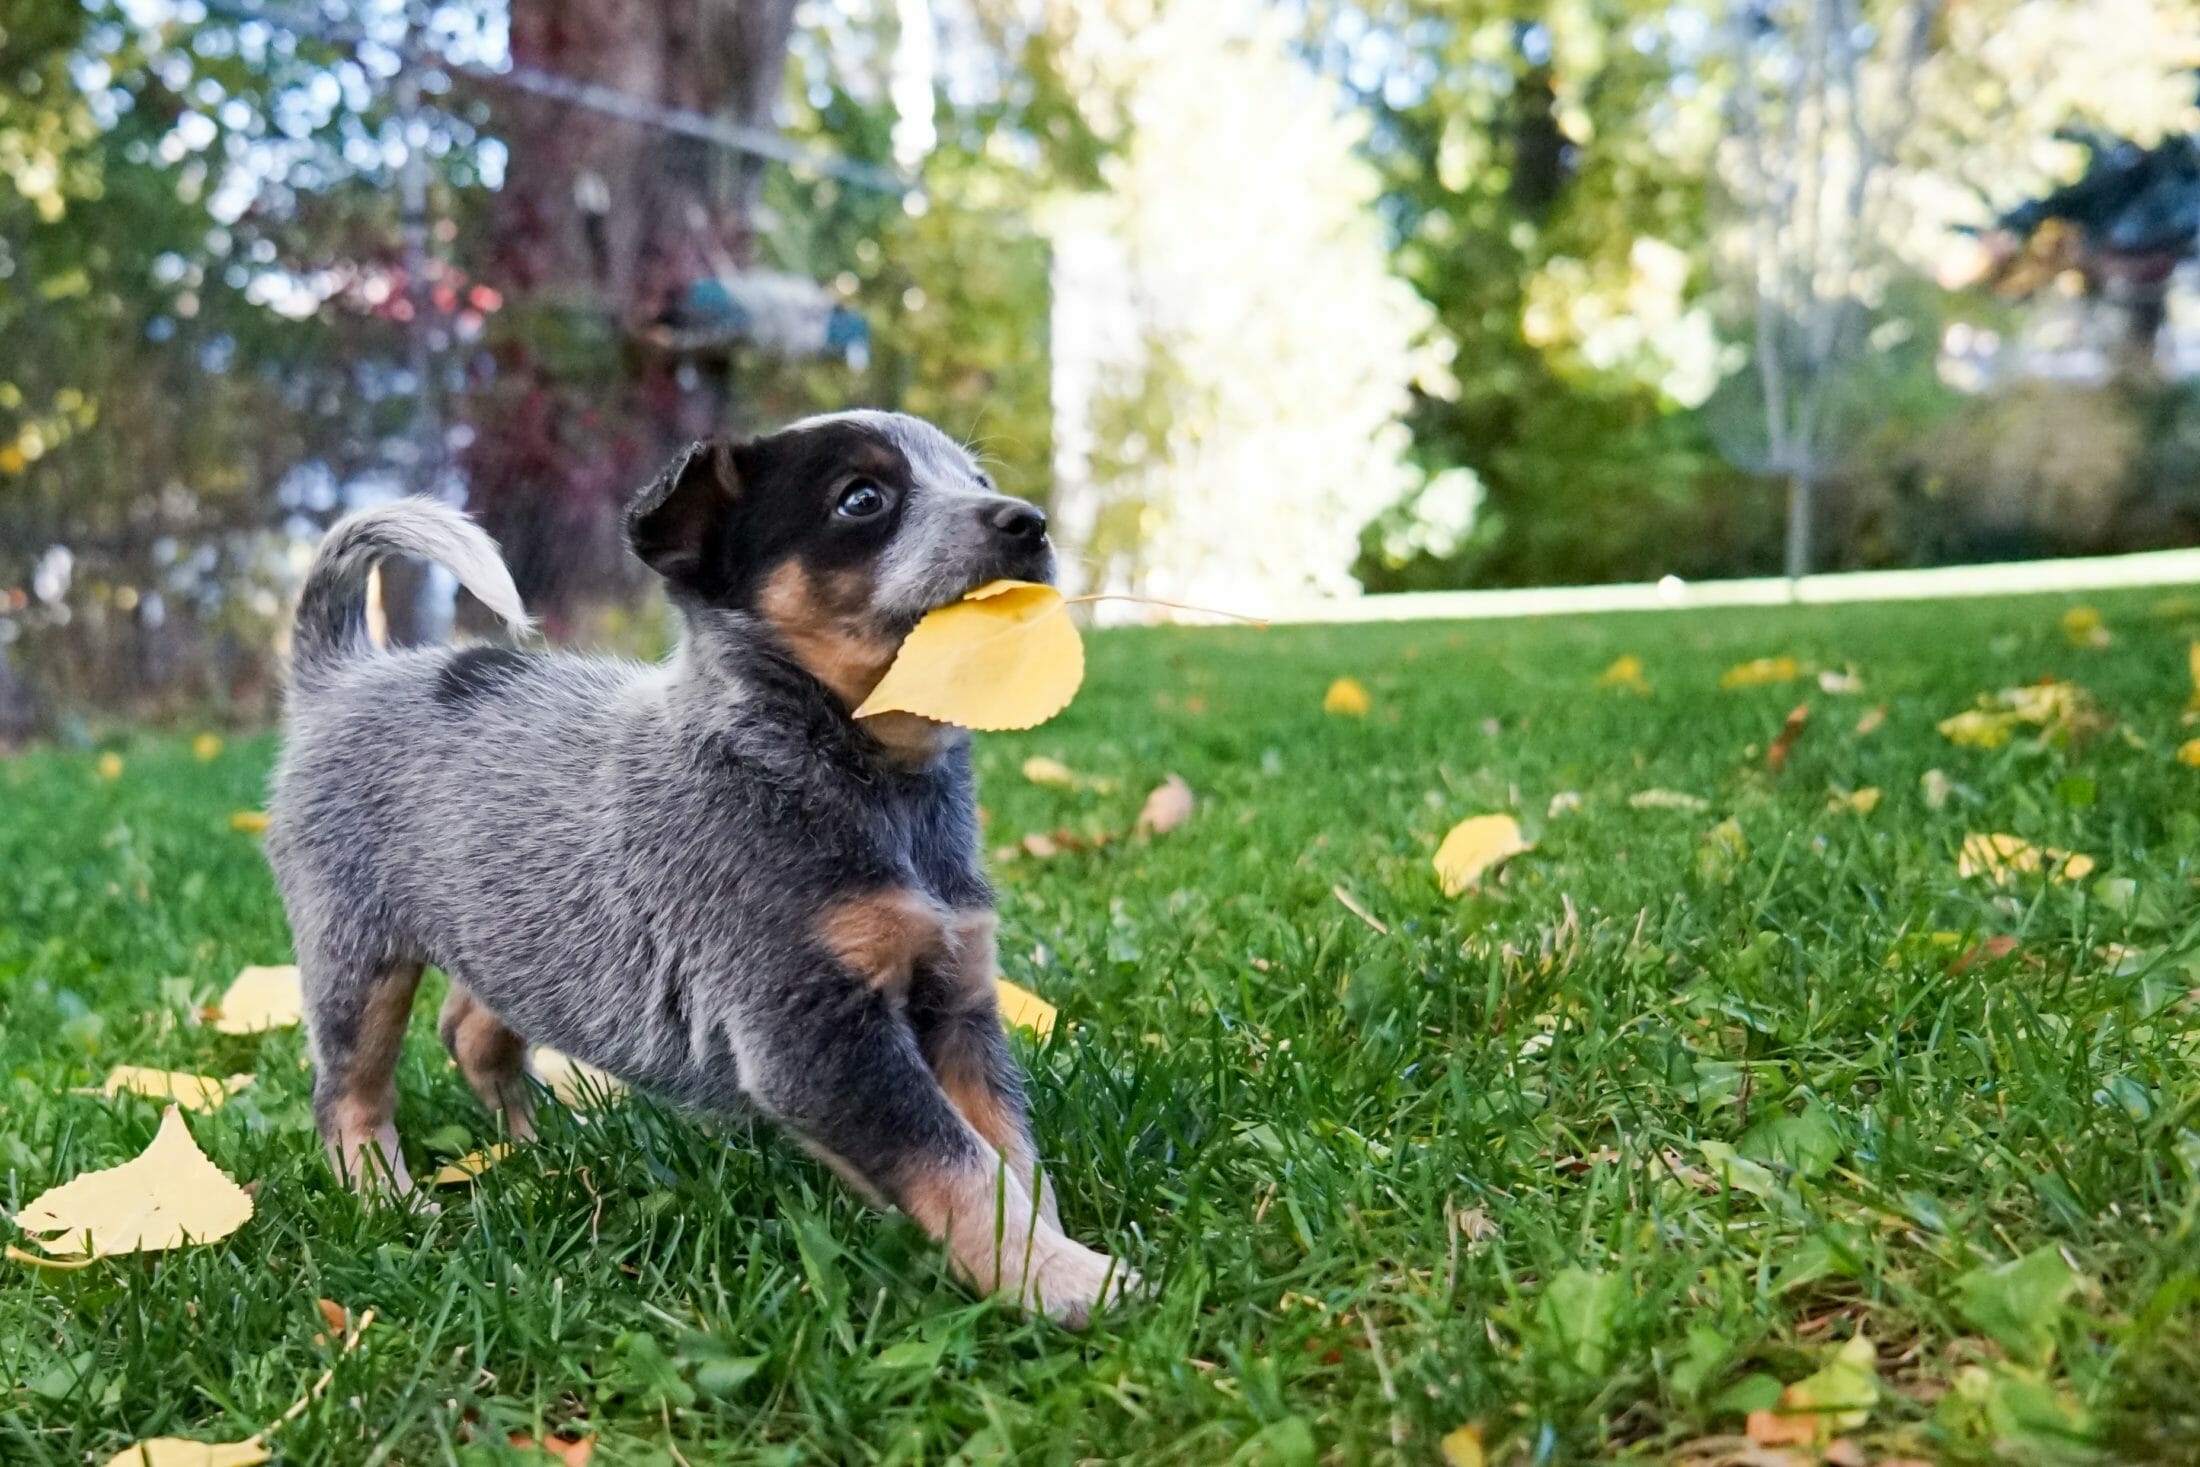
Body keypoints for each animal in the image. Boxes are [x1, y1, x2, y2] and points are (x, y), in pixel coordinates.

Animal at [261, 406, 1135, 1328]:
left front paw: (1051, 1253)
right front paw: (1064, 1282)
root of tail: (342, 673)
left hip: (514, 929)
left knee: (471, 1028)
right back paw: (387, 1198)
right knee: (347, 1092)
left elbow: (1011, 1157)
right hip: (355, 950)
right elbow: (958, 1166)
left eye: (975, 479)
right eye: (862, 498)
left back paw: (546, 1147)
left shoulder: (958, 995)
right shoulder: (811, 1032)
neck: (864, 776)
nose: (1028, 521)